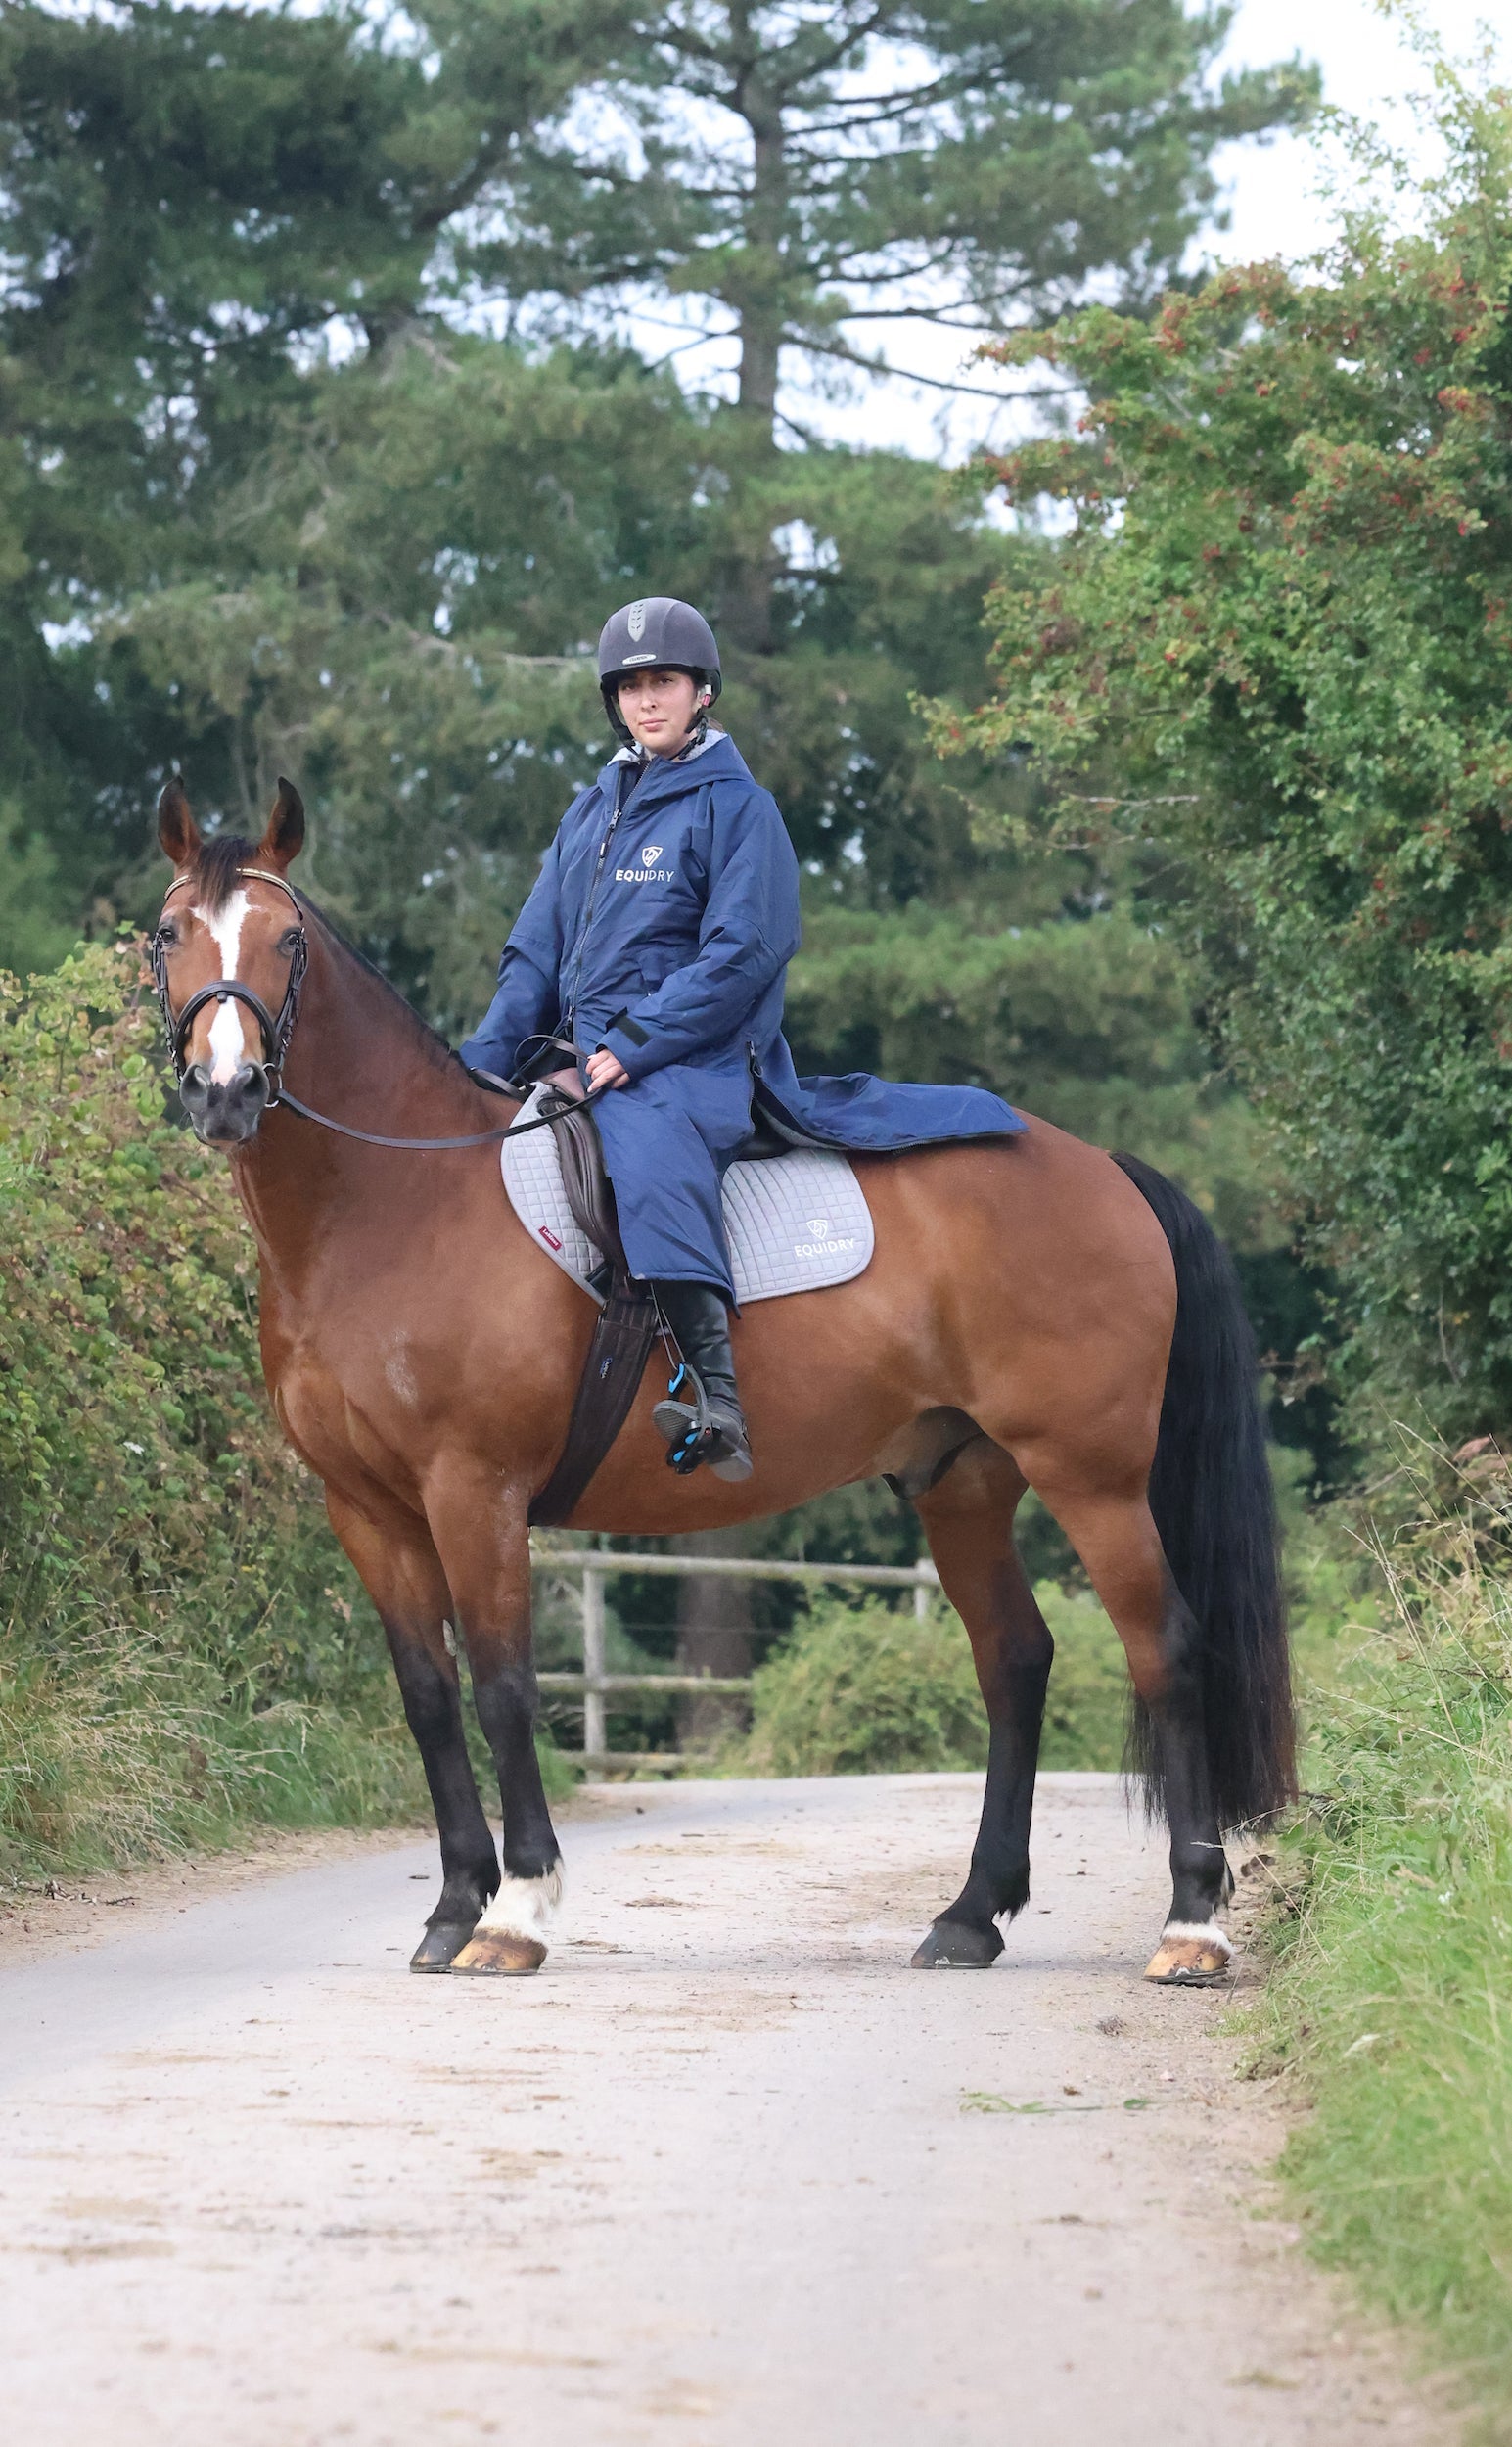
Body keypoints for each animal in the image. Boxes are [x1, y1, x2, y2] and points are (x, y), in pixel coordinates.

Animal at [149, 777, 1293, 1982]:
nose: (224, 1091)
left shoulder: (476, 1491)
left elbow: (505, 1687)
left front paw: (517, 1913)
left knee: (1164, 1649)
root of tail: (1102, 1167)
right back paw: (971, 1914)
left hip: (1092, 1478)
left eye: (287, 939)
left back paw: (1191, 1922)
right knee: (1015, 1661)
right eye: (168, 933)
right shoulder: (367, 1509)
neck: (393, 1207)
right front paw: (455, 1906)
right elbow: (427, 1697)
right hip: (963, 1482)